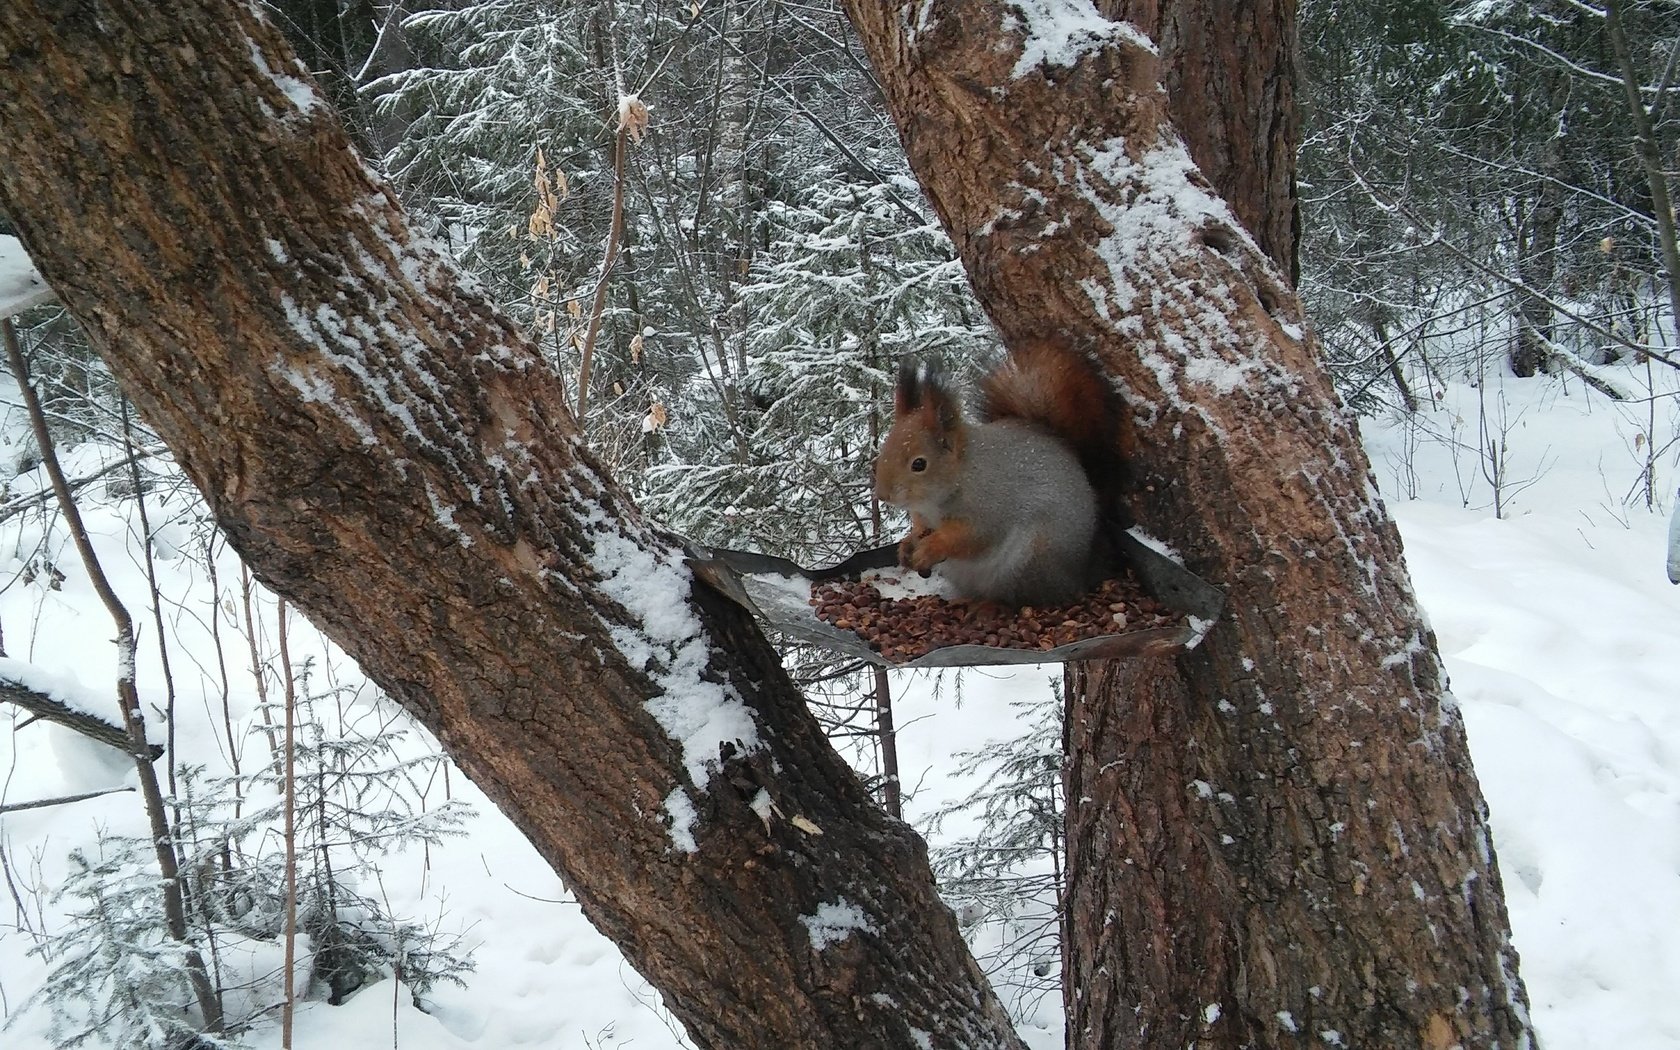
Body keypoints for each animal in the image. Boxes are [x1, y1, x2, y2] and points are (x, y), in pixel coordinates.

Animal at [866, 344, 1115, 604]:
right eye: (884, 448)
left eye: (919, 464)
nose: (882, 495)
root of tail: (1078, 574)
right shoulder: (923, 515)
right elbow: (919, 529)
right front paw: (907, 544)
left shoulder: (989, 509)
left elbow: (971, 537)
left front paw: (932, 547)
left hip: (1032, 558)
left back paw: (987, 606)